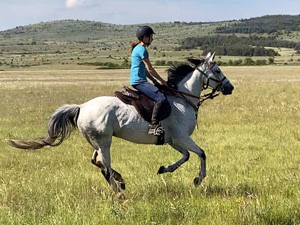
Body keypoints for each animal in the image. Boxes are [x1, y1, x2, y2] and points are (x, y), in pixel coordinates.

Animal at [7, 52, 234, 193]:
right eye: (218, 71)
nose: (230, 88)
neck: (182, 99)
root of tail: (81, 106)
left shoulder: (173, 140)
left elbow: (186, 156)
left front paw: (165, 169)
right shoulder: (181, 137)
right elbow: (201, 153)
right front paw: (198, 179)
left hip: (96, 142)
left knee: (97, 162)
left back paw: (121, 181)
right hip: (104, 141)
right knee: (104, 168)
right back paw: (120, 193)